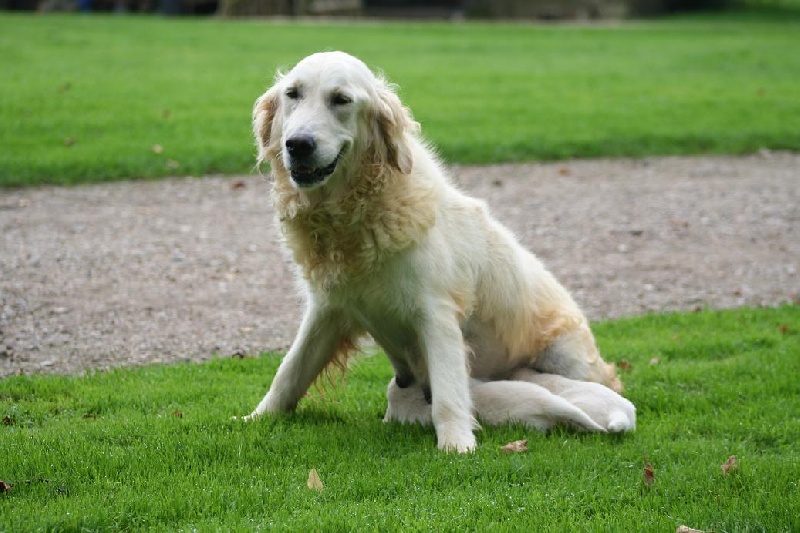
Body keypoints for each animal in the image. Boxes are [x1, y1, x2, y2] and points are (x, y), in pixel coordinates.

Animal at [247, 50, 620, 450]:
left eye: (341, 100)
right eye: (293, 94)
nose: (298, 144)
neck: (357, 211)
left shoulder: (435, 313)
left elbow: (447, 391)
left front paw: (457, 444)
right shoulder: (327, 310)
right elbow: (290, 372)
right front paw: (255, 419)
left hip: (564, 355)